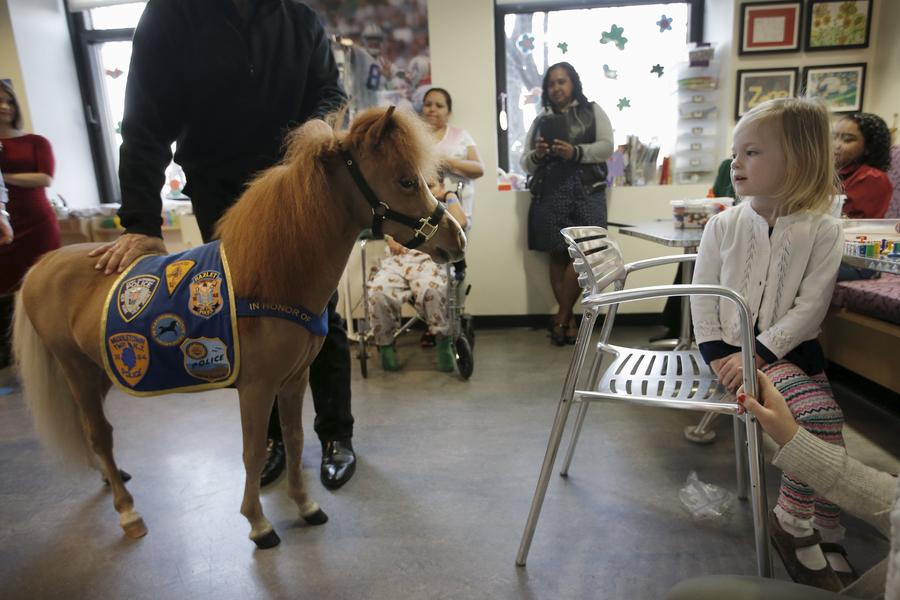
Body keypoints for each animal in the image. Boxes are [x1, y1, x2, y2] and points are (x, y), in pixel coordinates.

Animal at [12, 105, 466, 548]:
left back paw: (111, 478)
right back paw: (128, 512)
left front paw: (305, 506)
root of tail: (41, 266)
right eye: (406, 180)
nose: (457, 239)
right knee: (99, 434)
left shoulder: (293, 381)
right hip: (76, 369)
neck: (270, 278)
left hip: (99, 370)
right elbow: (252, 452)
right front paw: (259, 524)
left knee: (91, 432)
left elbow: (295, 439)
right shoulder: (256, 388)